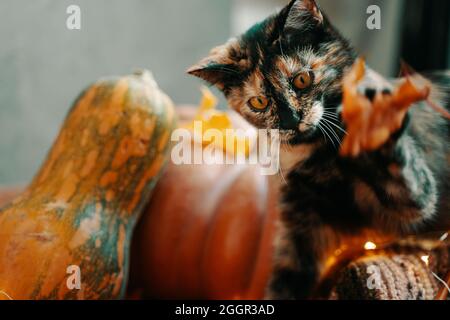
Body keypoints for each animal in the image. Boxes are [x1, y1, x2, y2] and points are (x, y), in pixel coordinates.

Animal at [188, 0, 448, 300]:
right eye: (259, 102)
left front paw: (376, 124)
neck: (315, 158)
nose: (290, 120)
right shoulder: (299, 232)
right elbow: (284, 286)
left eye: (302, 80)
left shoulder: (413, 203)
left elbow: (406, 180)